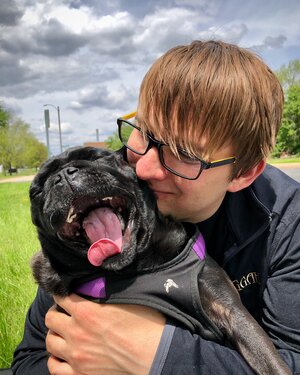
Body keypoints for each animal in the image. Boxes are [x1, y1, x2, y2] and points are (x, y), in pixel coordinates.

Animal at [30, 147, 290, 375]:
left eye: (97, 157)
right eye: (37, 190)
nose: (63, 175)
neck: (142, 265)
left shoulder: (231, 311)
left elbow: (272, 364)